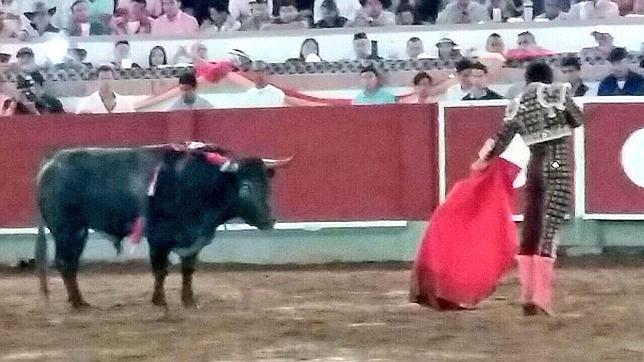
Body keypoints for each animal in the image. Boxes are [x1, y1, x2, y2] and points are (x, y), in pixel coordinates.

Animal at [35, 144, 292, 308]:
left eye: (268, 185)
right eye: (245, 186)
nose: (270, 220)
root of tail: (51, 161)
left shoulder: (194, 237)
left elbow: (188, 269)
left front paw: (189, 301)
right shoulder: (159, 237)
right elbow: (161, 269)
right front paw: (159, 301)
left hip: (76, 231)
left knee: (70, 264)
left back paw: (77, 300)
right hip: (66, 229)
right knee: (65, 263)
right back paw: (79, 303)